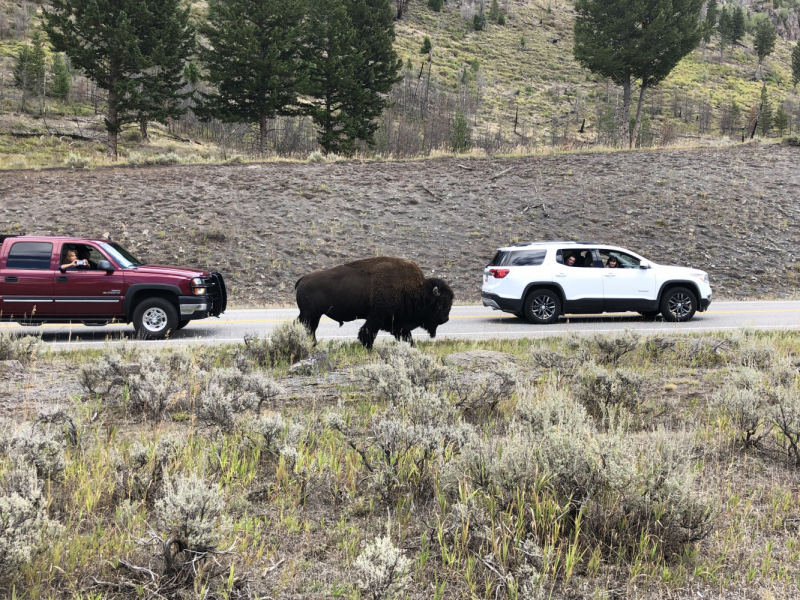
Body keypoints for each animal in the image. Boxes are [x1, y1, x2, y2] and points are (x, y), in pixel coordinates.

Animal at [296, 256, 456, 350]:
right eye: (440, 303)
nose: (445, 319)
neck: (417, 291)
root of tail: (303, 279)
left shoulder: (397, 324)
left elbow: (407, 337)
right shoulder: (376, 318)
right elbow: (367, 333)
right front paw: (369, 349)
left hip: (314, 315)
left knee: (310, 328)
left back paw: (313, 345)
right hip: (309, 314)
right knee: (306, 327)